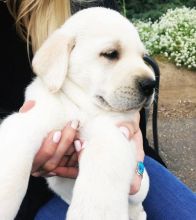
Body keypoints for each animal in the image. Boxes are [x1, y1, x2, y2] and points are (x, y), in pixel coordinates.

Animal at [0, 7, 155, 220]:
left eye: (143, 57)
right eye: (110, 54)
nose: (151, 85)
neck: (81, 107)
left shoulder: (114, 135)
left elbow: (100, 176)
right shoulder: (30, 118)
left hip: (142, 185)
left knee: (136, 204)